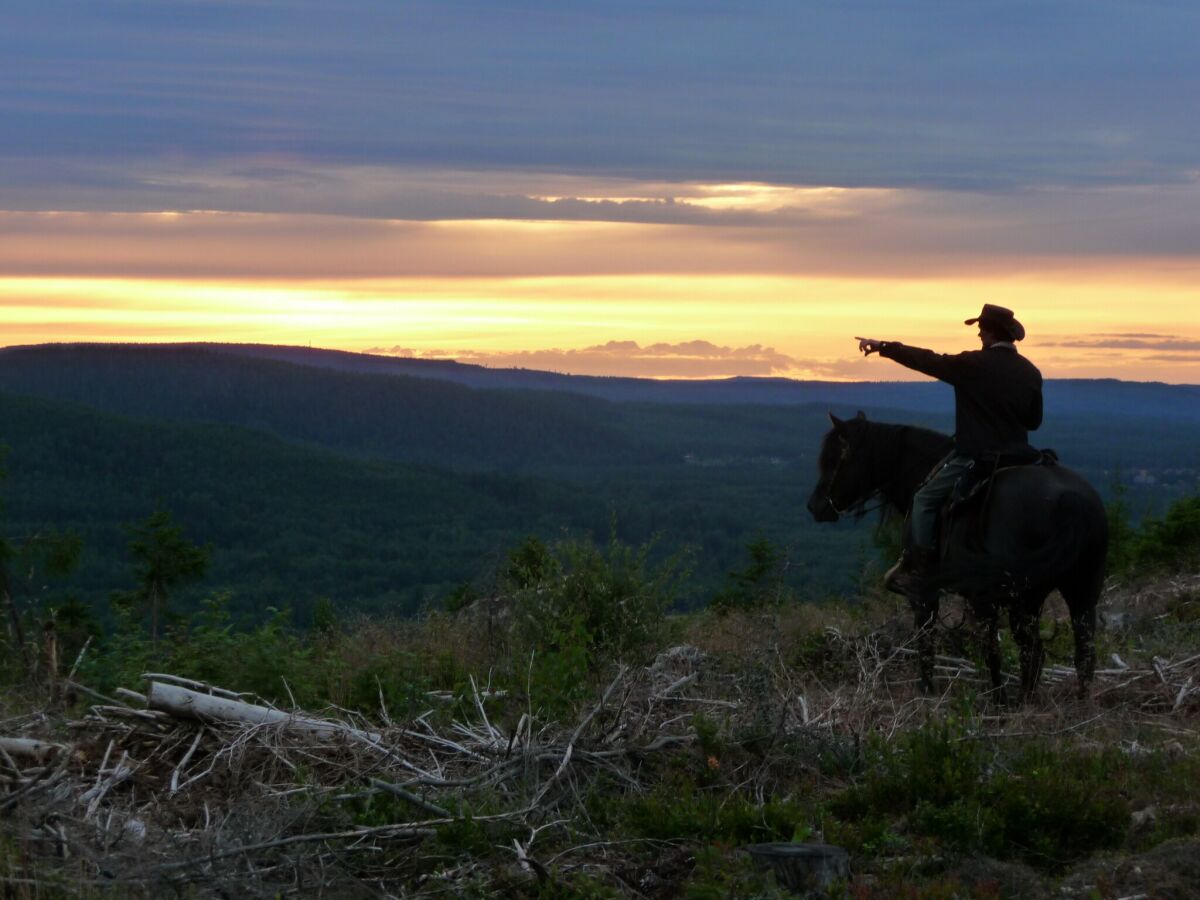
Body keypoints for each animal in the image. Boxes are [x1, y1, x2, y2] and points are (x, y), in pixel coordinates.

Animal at [806, 412, 1104, 700]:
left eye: (834, 460)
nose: (814, 506)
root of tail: (1072, 501)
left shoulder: (924, 594)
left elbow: (927, 640)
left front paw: (927, 691)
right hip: (1080, 592)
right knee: (1081, 653)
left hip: (1017, 598)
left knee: (1023, 651)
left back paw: (1007, 701)